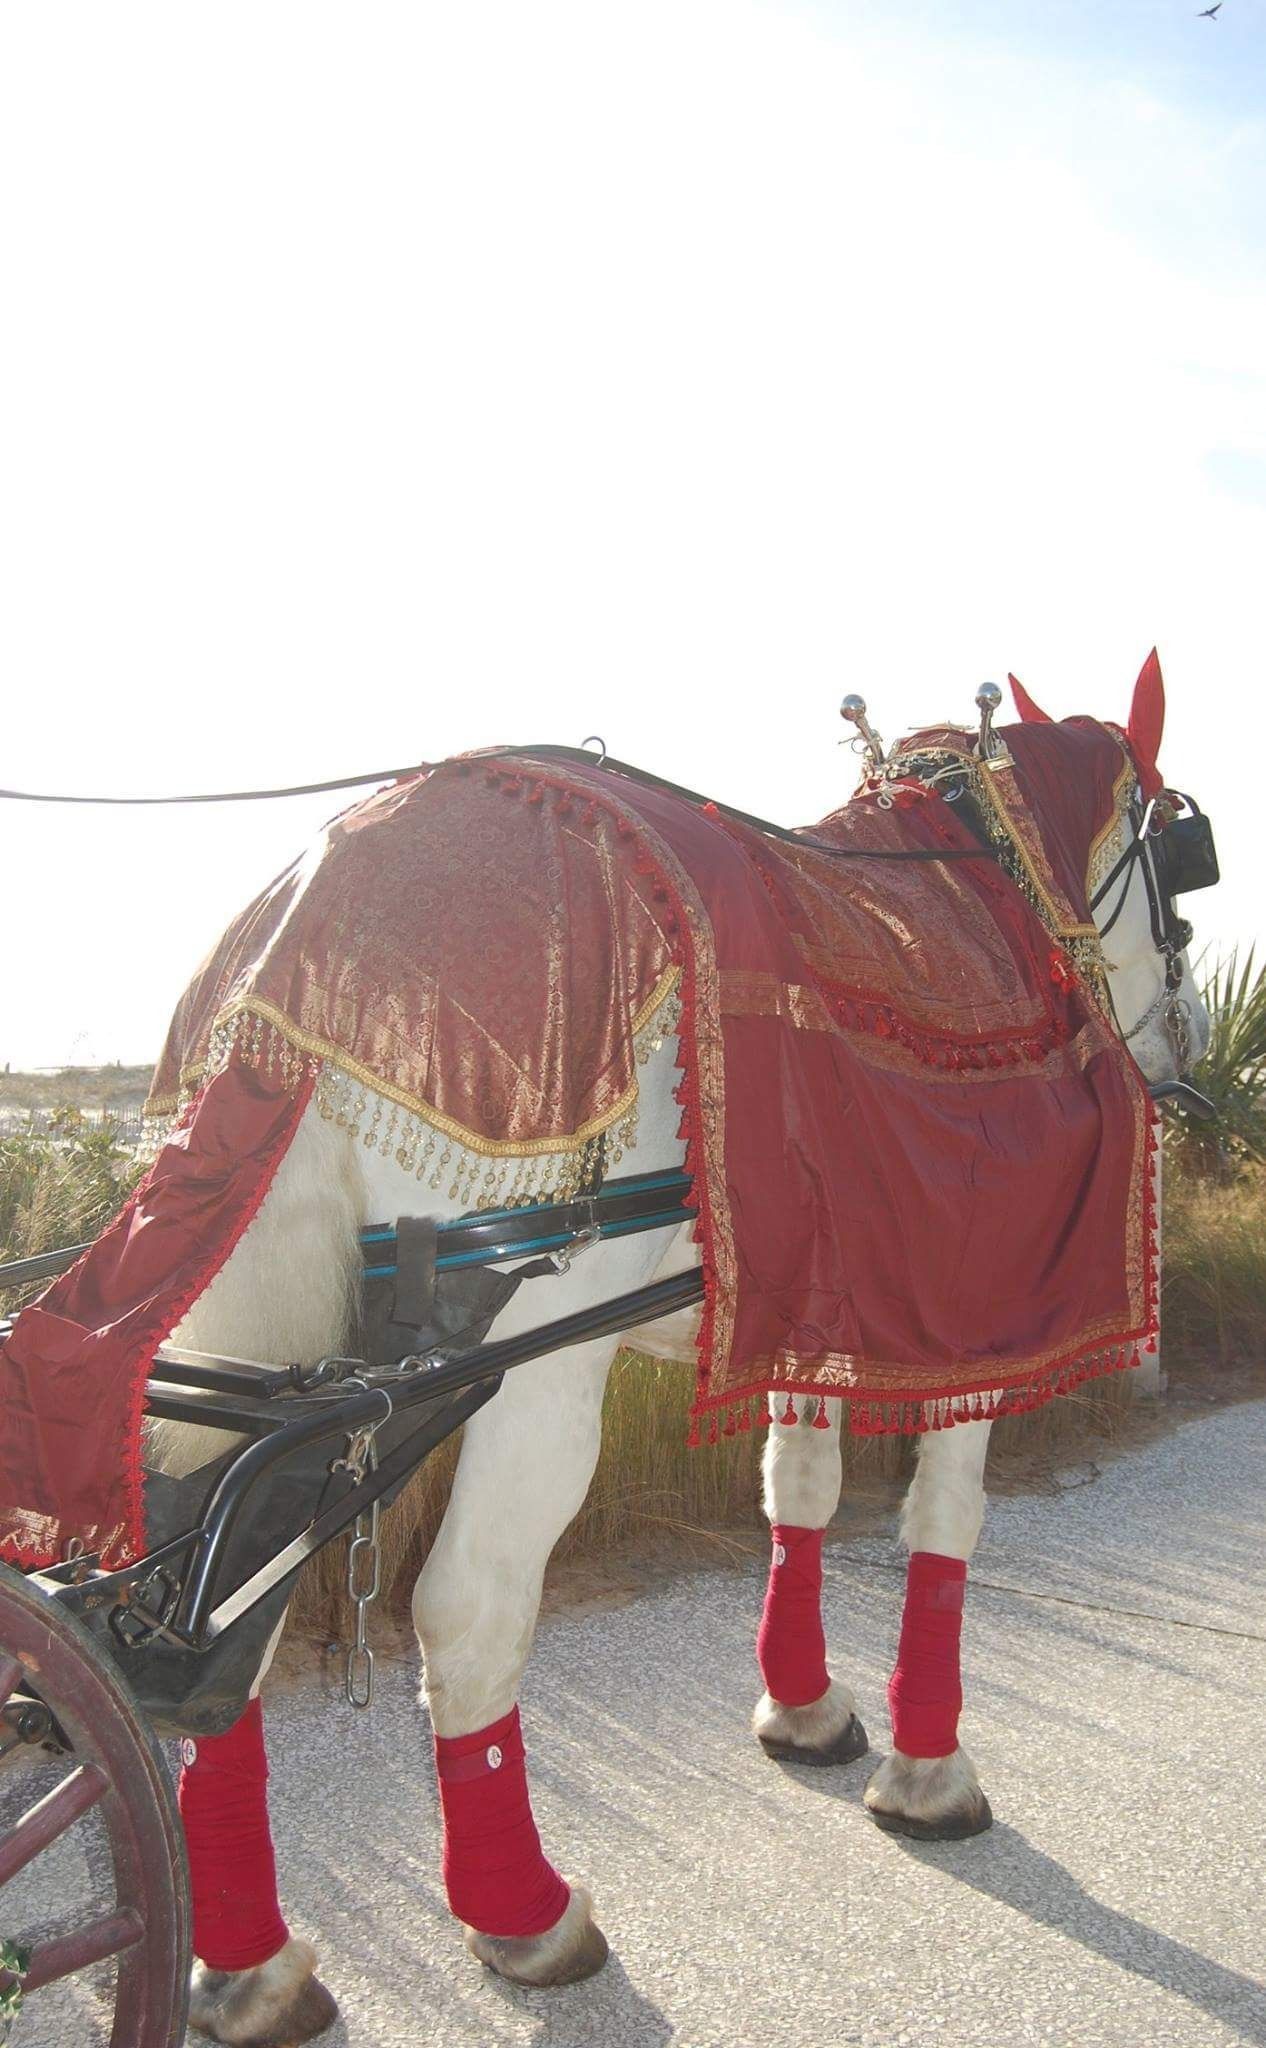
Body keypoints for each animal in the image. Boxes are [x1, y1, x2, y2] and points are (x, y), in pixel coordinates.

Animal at [157, 663, 1210, 2046]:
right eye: (1186, 862)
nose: (1189, 1042)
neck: (987, 911)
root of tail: (311, 948)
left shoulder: (814, 1307)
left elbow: (797, 1495)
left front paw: (804, 1708)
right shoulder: (968, 1305)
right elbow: (944, 1525)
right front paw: (930, 1771)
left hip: (260, 1336)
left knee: (225, 1613)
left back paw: (249, 1960)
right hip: (527, 1363)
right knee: (464, 1608)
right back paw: (523, 1909)